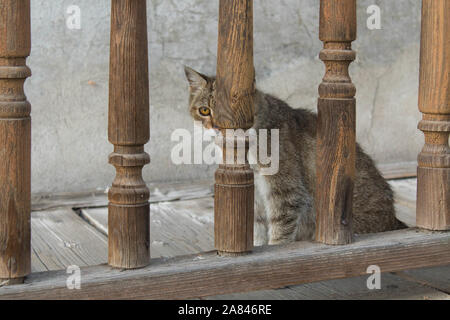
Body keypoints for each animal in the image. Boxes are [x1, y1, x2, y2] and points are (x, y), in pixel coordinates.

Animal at [183, 65, 404, 245]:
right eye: (204, 110)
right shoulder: (253, 197)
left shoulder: (285, 191)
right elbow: (255, 231)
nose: (216, 128)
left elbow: (280, 231)